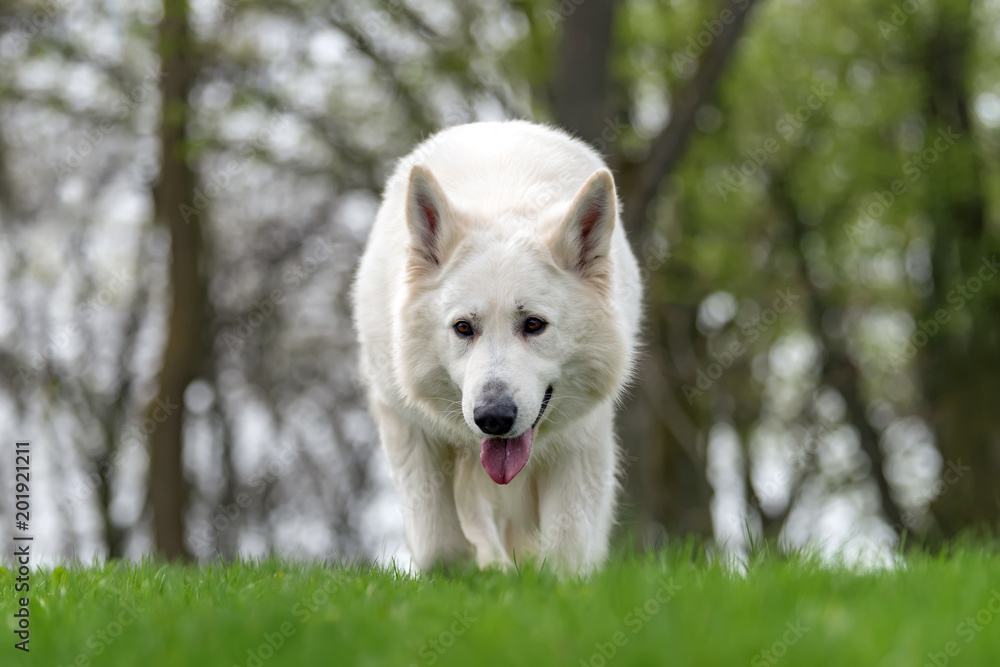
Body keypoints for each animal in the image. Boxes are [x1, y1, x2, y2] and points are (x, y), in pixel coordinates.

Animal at [356, 118, 644, 576]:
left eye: (534, 325)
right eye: (463, 328)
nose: (493, 418)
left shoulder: (582, 440)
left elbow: (566, 555)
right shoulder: (406, 426)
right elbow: (441, 547)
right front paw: (476, 575)